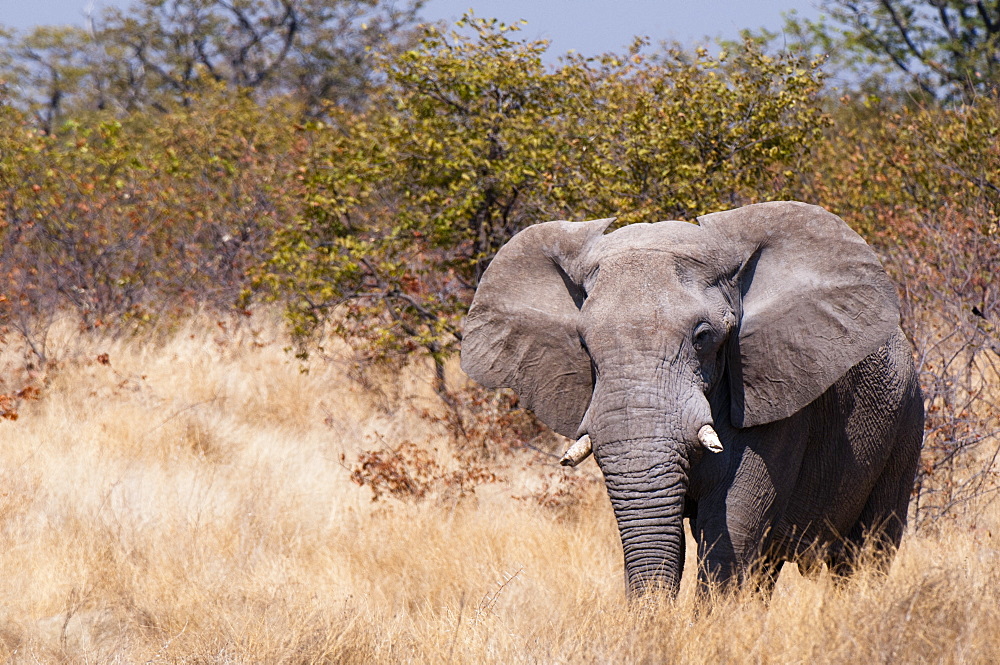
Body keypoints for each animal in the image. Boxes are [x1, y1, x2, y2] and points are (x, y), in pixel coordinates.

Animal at [458, 200, 920, 592]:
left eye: (703, 337)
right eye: (585, 345)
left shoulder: (774, 396)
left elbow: (730, 528)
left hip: (906, 425)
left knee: (866, 553)